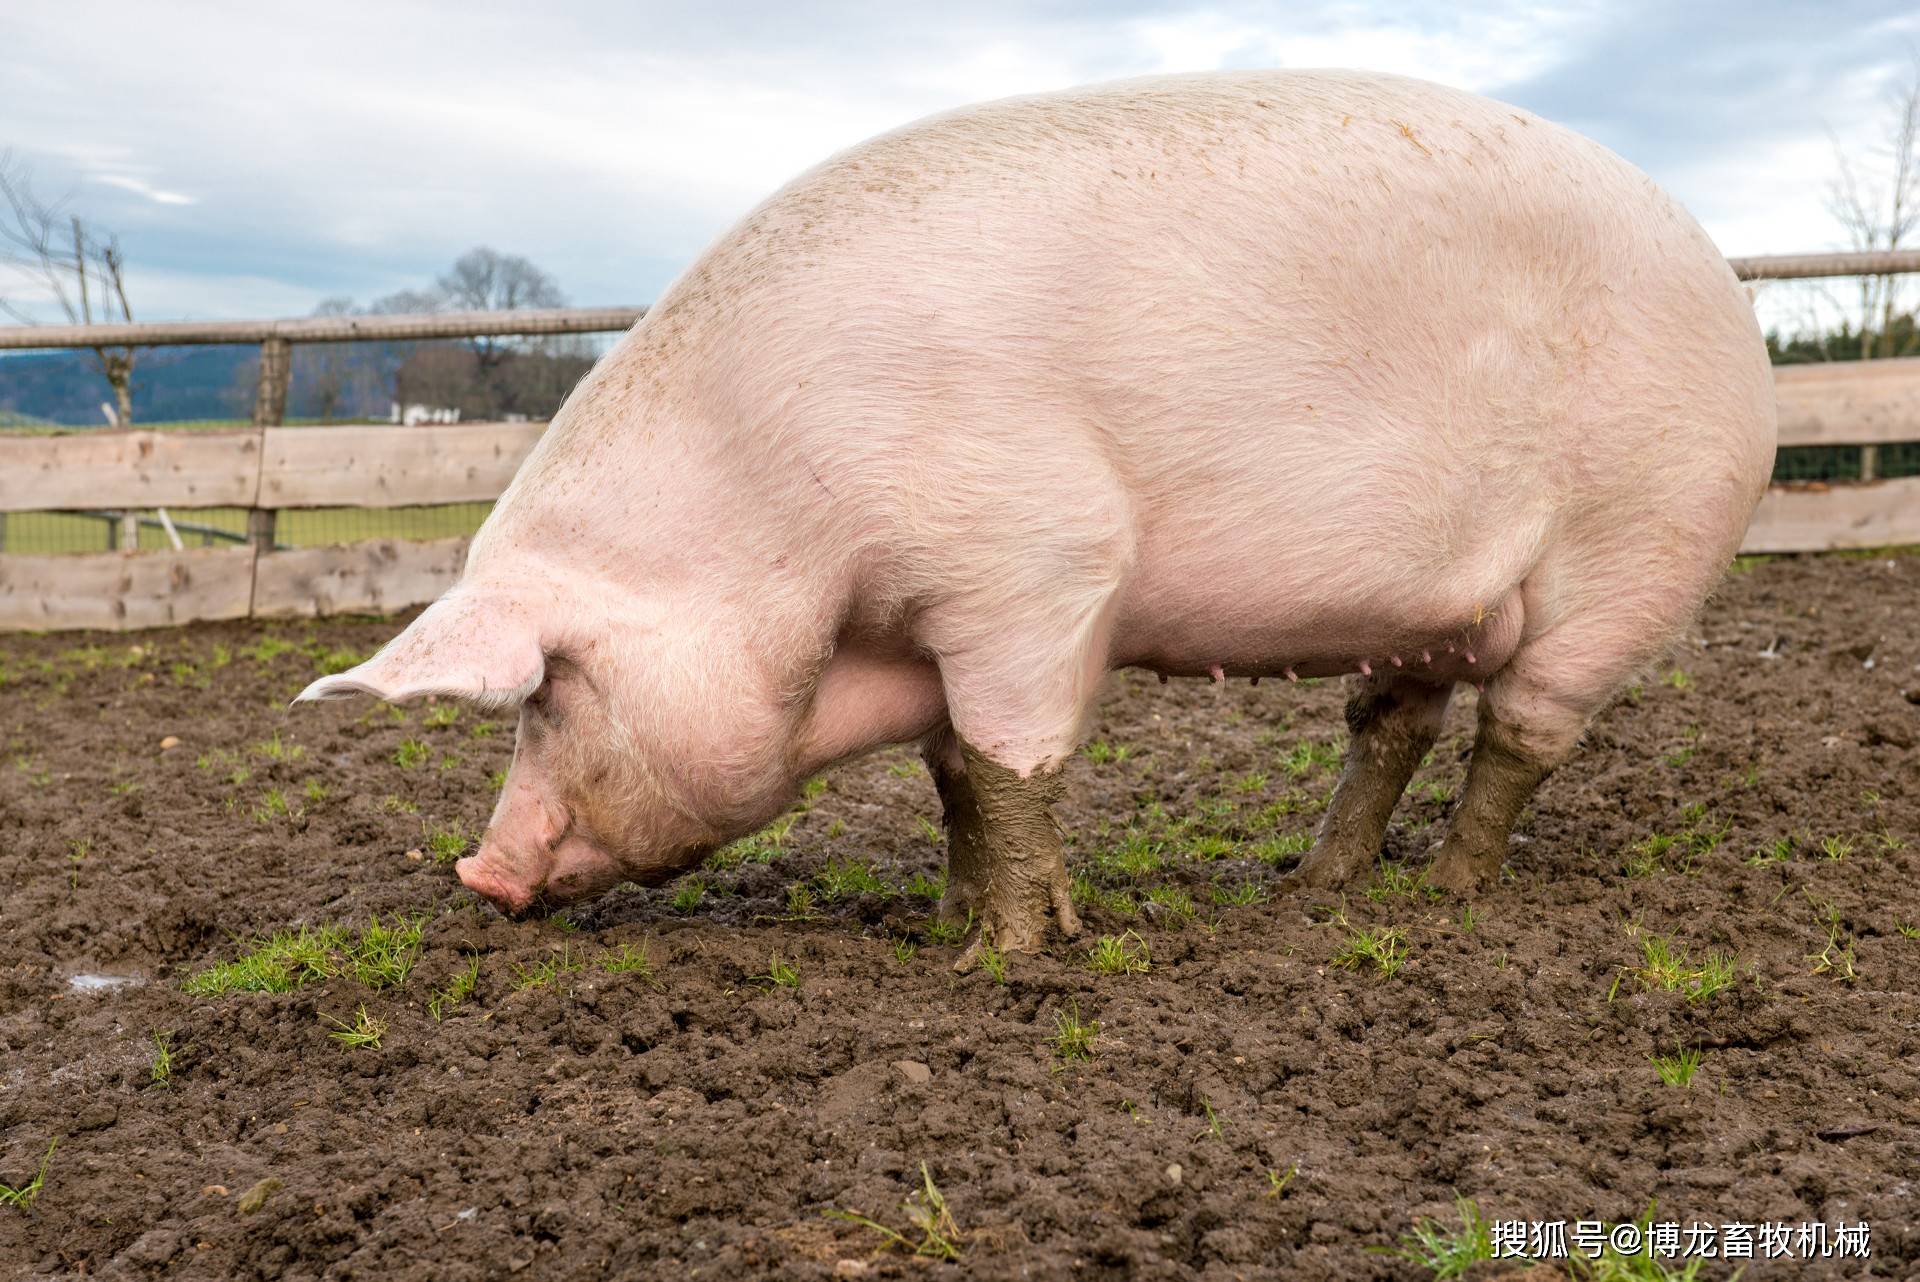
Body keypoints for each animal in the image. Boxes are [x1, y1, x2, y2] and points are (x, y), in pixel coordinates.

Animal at [291, 70, 1774, 959]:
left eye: (547, 693)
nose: (477, 874)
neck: (772, 518)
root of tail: (1729, 284)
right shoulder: (928, 621)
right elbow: (955, 769)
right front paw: (952, 919)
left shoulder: (1038, 565)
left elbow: (1014, 758)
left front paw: (1005, 956)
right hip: (1434, 604)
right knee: (1393, 722)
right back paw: (1312, 890)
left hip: (1638, 549)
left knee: (1525, 729)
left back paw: (1447, 895)